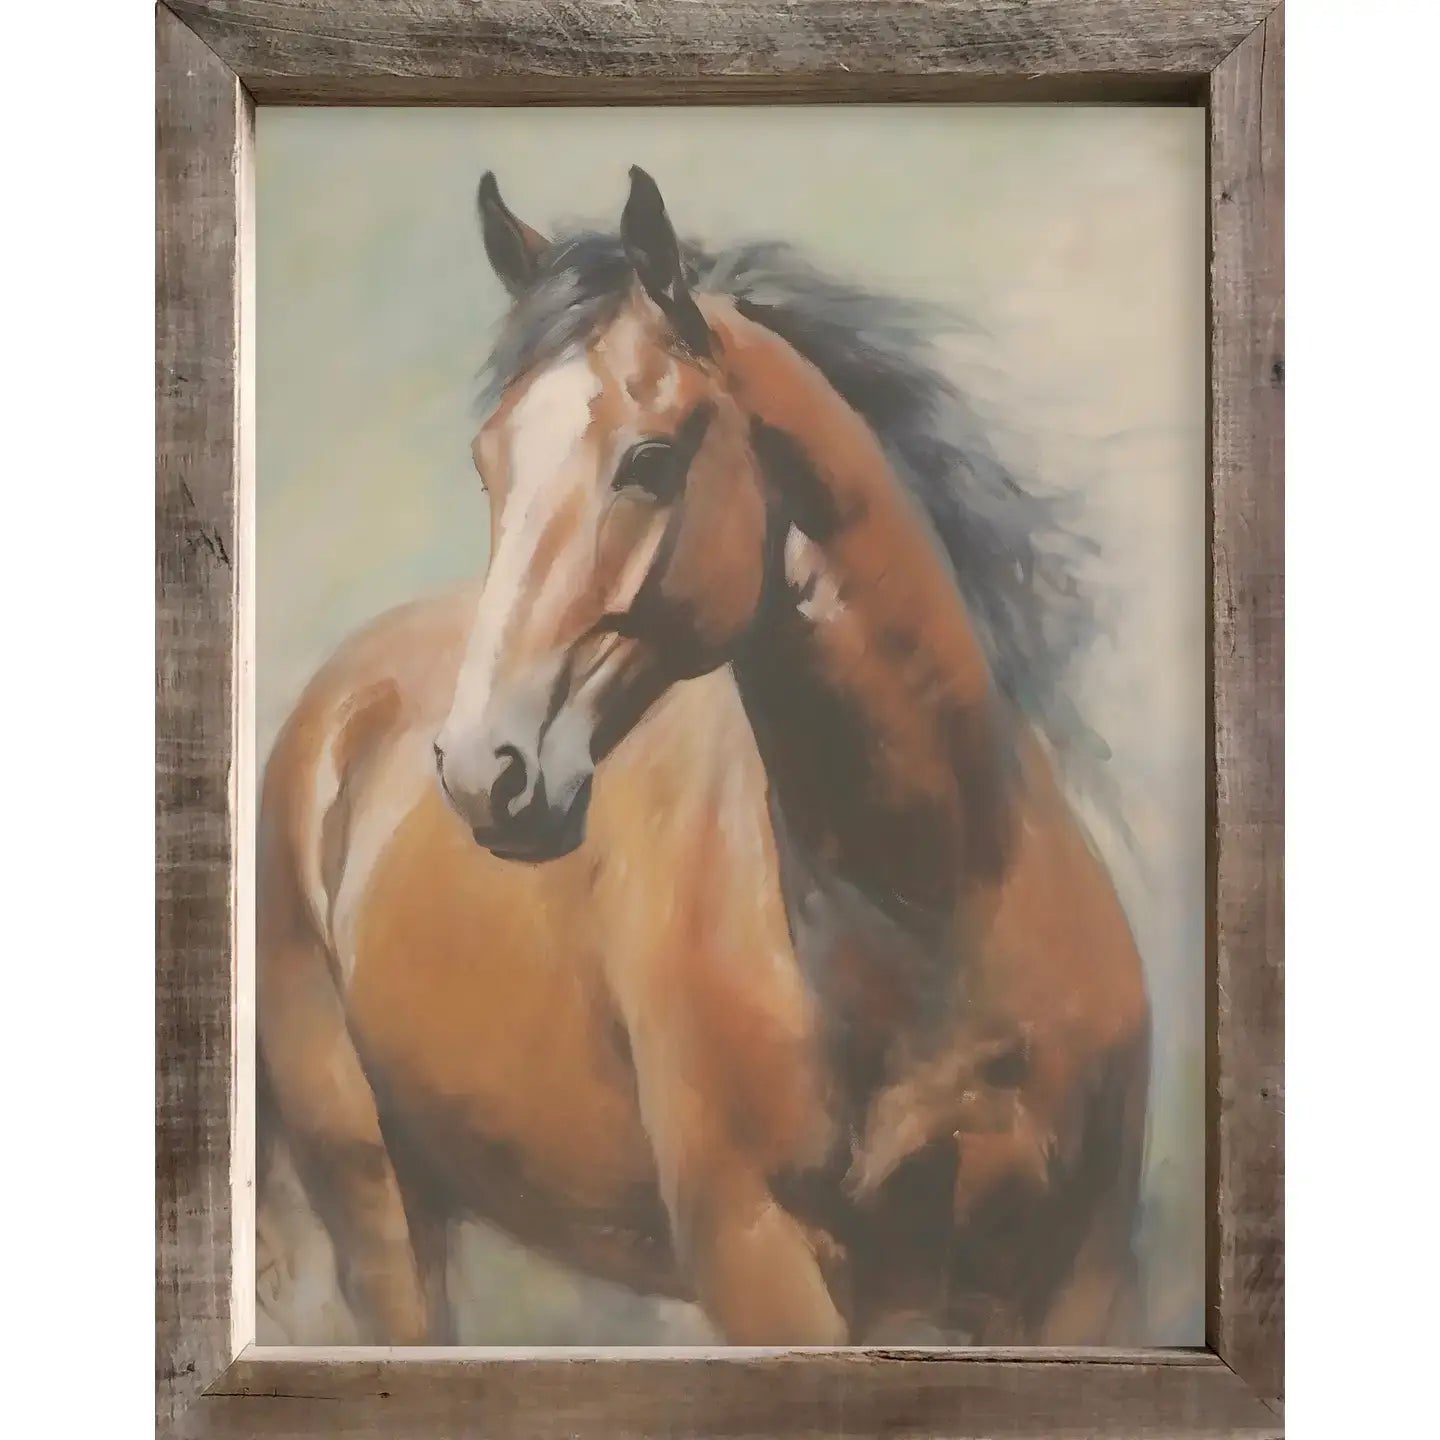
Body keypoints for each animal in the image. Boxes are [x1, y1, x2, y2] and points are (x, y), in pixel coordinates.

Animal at [257, 165, 1151, 1347]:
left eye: (650, 459)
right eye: (490, 465)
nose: (484, 772)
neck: (932, 904)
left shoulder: (1075, 1281)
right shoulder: (758, 1260)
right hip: (377, 1206)